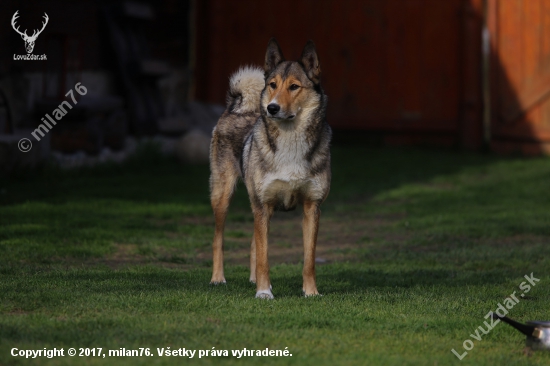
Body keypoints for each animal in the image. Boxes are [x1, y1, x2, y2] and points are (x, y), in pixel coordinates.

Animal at [210, 38, 332, 298]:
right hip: (222, 197)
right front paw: (264, 293)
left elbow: (309, 259)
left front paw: (311, 292)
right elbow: (265, 257)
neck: (290, 141)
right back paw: (217, 278)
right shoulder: (262, 204)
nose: (272, 108)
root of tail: (236, 107)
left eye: (294, 87)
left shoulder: (311, 207)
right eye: (273, 85)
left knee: (253, 243)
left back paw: (253, 279)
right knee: (218, 239)